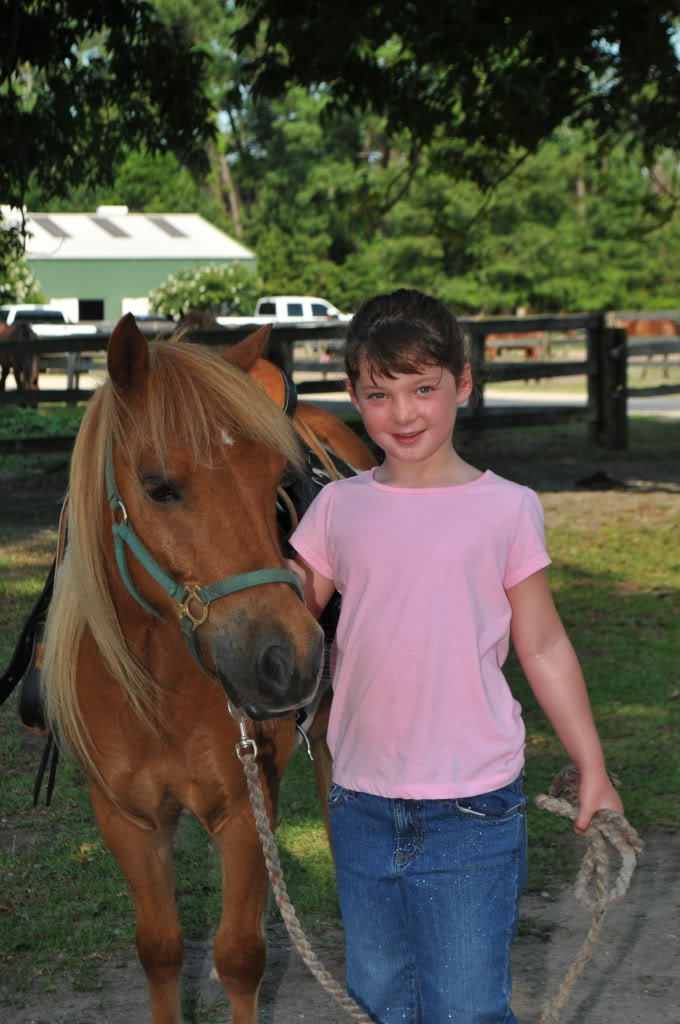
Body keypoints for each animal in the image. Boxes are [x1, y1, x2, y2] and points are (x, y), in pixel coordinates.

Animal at [40, 313, 374, 1024]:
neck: (155, 691)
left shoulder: (245, 811)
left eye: (275, 482)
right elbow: (162, 948)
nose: (288, 658)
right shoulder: (129, 821)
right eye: (159, 486)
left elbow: (240, 955)